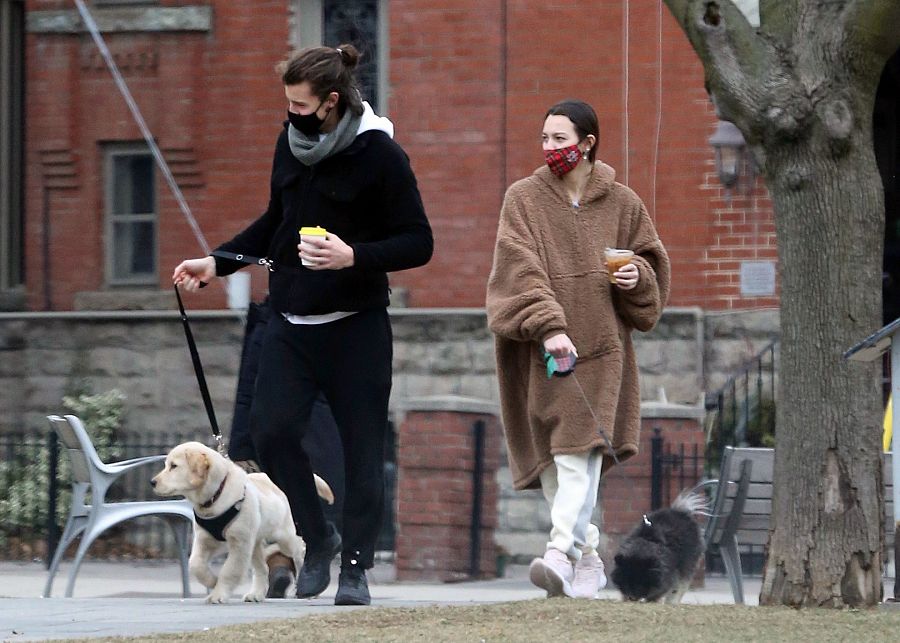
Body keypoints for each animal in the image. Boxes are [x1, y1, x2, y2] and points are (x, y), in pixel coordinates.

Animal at [151, 442, 334, 604]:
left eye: (174, 466)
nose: (152, 482)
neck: (216, 496)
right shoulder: (205, 539)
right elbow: (195, 563)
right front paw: (212, 581)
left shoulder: (239, 543)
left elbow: (229, 570)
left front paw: (218, 594)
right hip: (255, 543)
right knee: (263, 568)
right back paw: (256, 594)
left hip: (285, 537)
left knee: (300, 553)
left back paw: (308, 587)